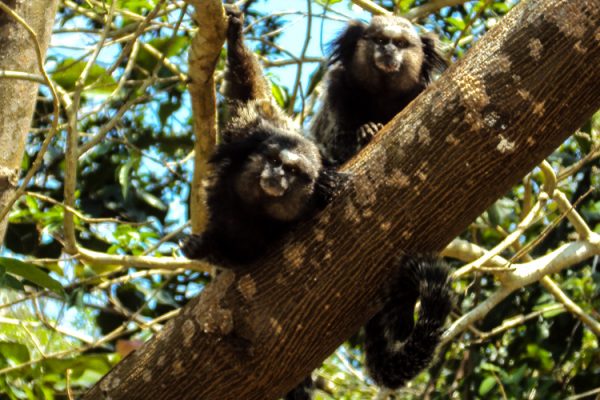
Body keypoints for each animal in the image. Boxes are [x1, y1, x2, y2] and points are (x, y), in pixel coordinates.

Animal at [180, 6, 341, 267]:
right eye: (275, 160)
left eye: (293, 171)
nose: (278, 174)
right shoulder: (250, 129)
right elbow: (248, 88)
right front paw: (236, 33)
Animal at [311, 15, 448, 165]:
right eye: (381, 41)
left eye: (400, 43)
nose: (389, 49)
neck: (383, 93)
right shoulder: (337, 87)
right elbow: (334, 142)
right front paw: (365, 131)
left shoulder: (420, 90)